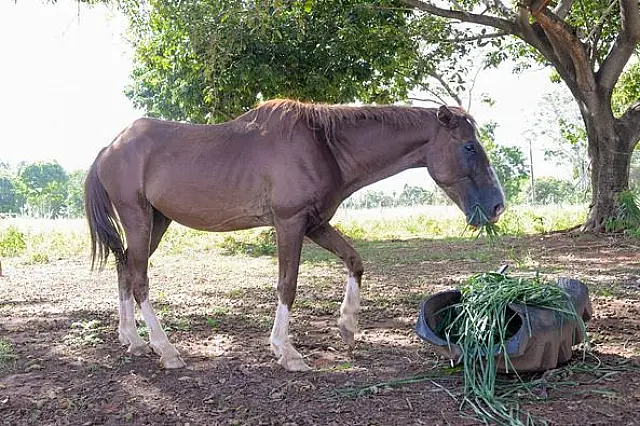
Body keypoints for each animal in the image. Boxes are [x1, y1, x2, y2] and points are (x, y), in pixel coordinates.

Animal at [84, 99, 505, 371]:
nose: (498, 206)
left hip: (156, 223)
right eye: (469, 146)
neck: (323, 144)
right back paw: (165, 350)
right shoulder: (290, 224)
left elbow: (354, 261)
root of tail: (110, 147)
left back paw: (133, 340)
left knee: (125, 269)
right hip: (138, 219)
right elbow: (287, 285)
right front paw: (286, 352)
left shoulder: (315, 224)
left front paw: (347, 327)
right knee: (139, 280)